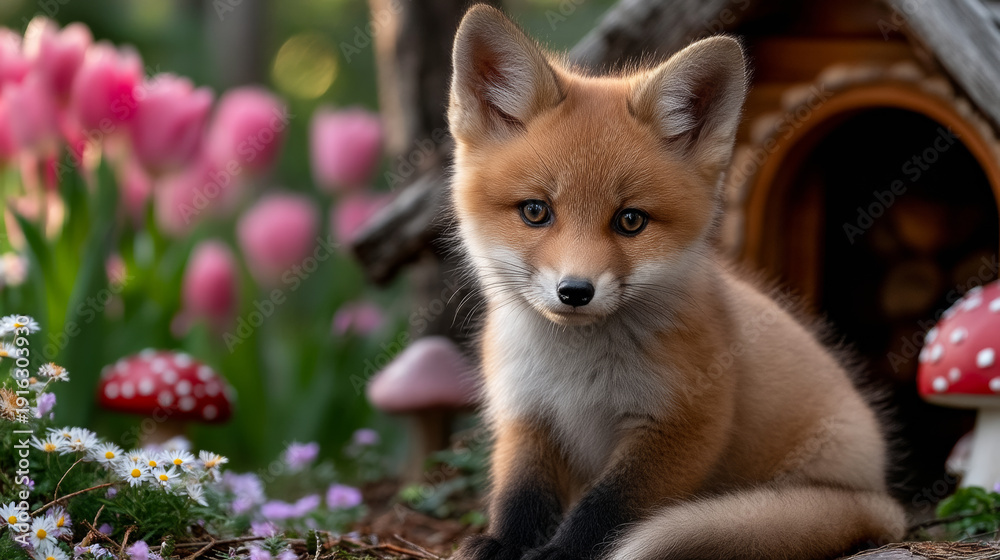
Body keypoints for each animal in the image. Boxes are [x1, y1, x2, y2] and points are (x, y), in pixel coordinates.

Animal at [446, 5, 906, 560]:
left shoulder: (683, 426)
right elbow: (520, 495)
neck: (575, 375)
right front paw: (502, 543)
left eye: (630, 221)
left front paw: (563, 552)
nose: (575, 292)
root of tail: (882, 497)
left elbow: (607, 510)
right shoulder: (526, 413)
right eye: (536, 212)